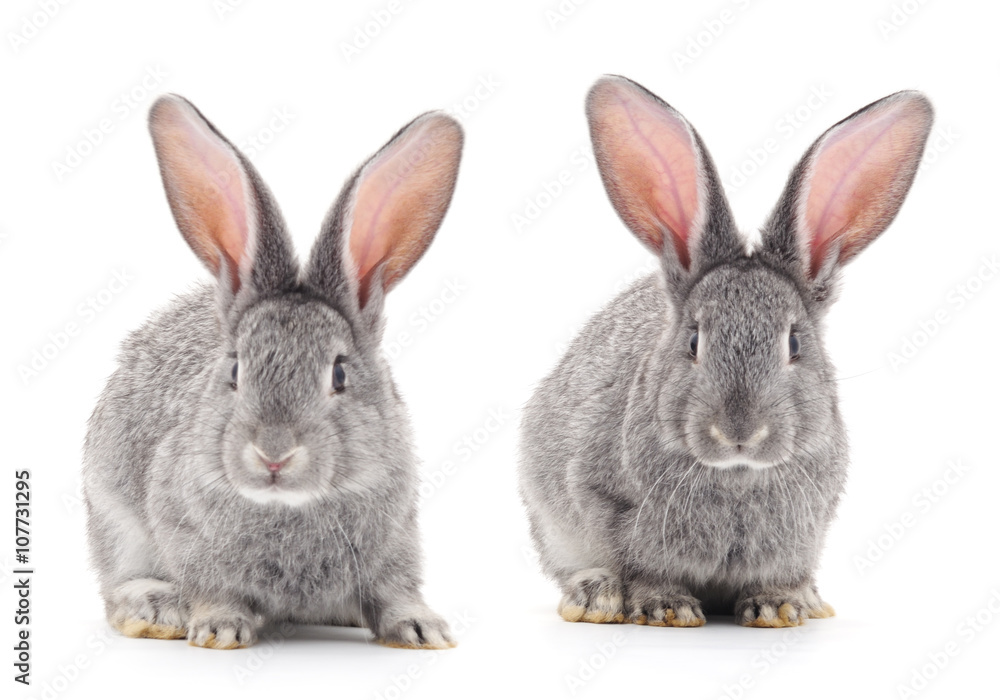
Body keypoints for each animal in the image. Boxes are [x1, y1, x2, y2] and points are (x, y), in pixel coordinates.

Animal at [82, 94, 463, 650]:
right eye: (235, 370)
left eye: (340, 375)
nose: (274, 453)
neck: (290, 504)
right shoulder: (184, 532)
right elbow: (212, 587)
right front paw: (219, 627)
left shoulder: (398, 535)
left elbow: (395, 588)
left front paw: (421, 628)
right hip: (112, 514)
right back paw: (156, 608)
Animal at [519, 75, 933, 628]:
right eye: (694, 341)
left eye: (794, 343)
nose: (740, 430)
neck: (737, 474)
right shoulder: (602, 501)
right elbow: (643, 567)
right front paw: (666, 607)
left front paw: (779, 604)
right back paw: (595, 596)